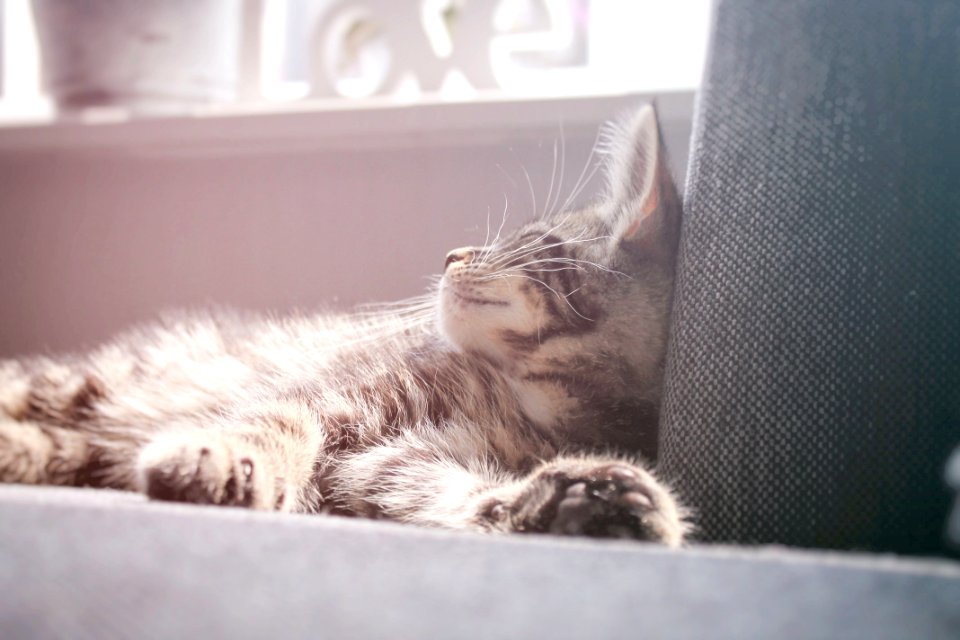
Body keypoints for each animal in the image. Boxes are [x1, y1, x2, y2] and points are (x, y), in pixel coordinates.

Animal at [0, 104, 688, 544]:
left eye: (519, 242)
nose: (451, 255)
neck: (534, 401)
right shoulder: (338, 394)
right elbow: (279, 419)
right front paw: (224, 460)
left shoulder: (386, 464)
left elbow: (443, 493)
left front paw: (577, 503)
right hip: (78, 384)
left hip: (66, 447)